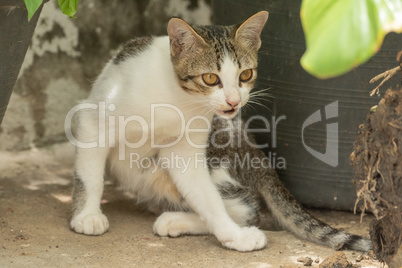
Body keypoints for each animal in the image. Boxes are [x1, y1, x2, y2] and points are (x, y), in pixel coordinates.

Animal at [70, 11, 374, 253]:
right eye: (210, 78)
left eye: (245, 75)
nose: (233, 101)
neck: (176, 99)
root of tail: (259, 157)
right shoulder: (93, 118)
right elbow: (90, 175)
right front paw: (87, 215)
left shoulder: (187, 149)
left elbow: (207, 197)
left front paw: (233, 235)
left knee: (245, 209)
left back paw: (177, 220)